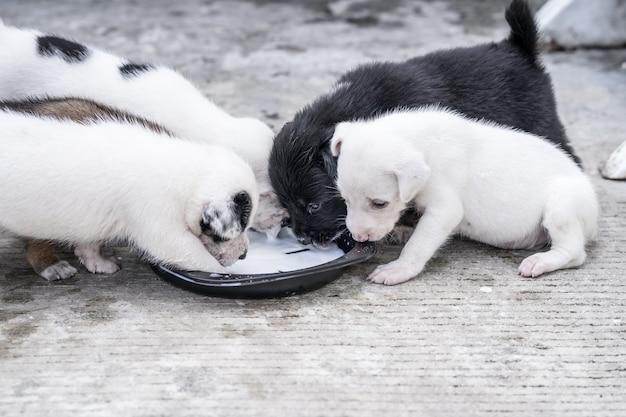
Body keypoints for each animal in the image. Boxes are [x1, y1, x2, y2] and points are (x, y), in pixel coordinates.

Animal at [0, 109, 258, 274]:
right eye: (241, 225)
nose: (244, 254)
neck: (188, 174)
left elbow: (89, 243)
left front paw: (96, 261)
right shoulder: (163, 230)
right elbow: (198, 257)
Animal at [330, 106, 596, 286]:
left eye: (379, 203)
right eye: (345, 199)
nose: (358, 237)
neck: (421, 142)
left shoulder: (444, 210)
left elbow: (418, 245)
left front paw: (399, 268)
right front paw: (403, 231)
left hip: (562, 205)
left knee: (574, 252)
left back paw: (541, 262)